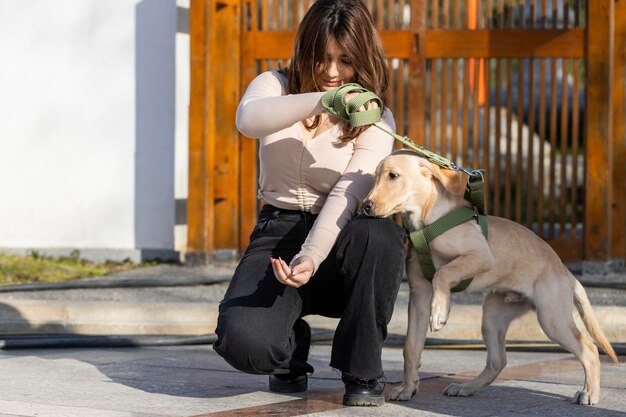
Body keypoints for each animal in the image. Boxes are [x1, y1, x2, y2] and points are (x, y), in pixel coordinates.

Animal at [360, 149, 616, 404]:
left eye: (393, 176)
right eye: (374, 178)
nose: (365, 206)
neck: (426, 223)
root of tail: (565, 271)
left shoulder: (480, 255)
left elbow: (444, 272)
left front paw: (441, 312)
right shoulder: (419, 296)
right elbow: (411, 347)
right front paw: (407, 388)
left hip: (552, 319)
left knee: (589, 349)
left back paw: (590, 393)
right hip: (493, 316)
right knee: (498, 361)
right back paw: (467, 387)